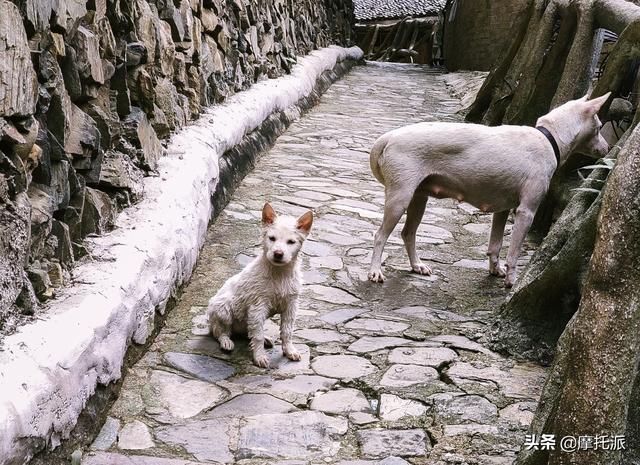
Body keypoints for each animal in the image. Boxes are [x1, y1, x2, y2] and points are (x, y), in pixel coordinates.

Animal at [208, 202, 312, 366]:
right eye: (272, 238)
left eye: (291, 242)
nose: (278, 254)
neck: (279, 273)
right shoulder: (258, 306)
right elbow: (257, 336)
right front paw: (259, 356)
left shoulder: (291, 305)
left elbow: (287, 331)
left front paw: (289, 350)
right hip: (222, 307)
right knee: (219, 331)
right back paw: (226, 341)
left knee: (247, 332)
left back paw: (266, 339)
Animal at [368, 92, 608, 286]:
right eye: (599, 127)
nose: (607, 149)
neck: (550, 138)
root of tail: (388, 137)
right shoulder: (526, 212)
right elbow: (513, 253)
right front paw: (511, 281)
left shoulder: (502, 209)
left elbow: (496, 244)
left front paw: (495, 270)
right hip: (400, 198)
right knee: (380, 235)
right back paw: (375, 271)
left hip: (419, 198)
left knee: (408, 233)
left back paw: (417, 265)